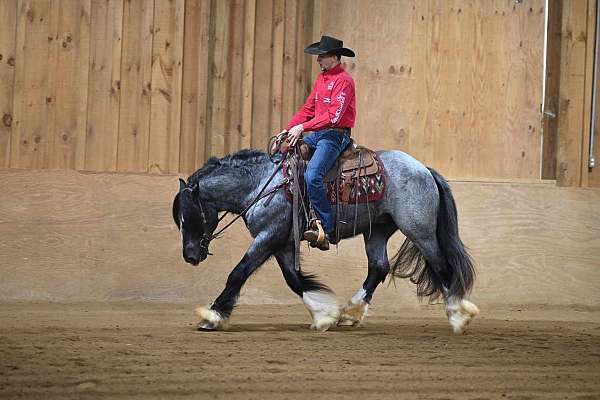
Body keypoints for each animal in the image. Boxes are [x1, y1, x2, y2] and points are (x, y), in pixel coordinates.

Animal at [172, 148, 478, 332]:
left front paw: (212, 316)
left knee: (441, 265)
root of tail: (424, 169)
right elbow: (294, 279)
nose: (190, 256)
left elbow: (238, 273)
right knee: (378, 267)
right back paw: (350, 312)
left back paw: (458, 315)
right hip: (377, 230)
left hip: (419, 229)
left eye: (190, 217)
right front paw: (323, 315)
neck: (262, 185)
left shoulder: (268, 235)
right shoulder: (282, 242)